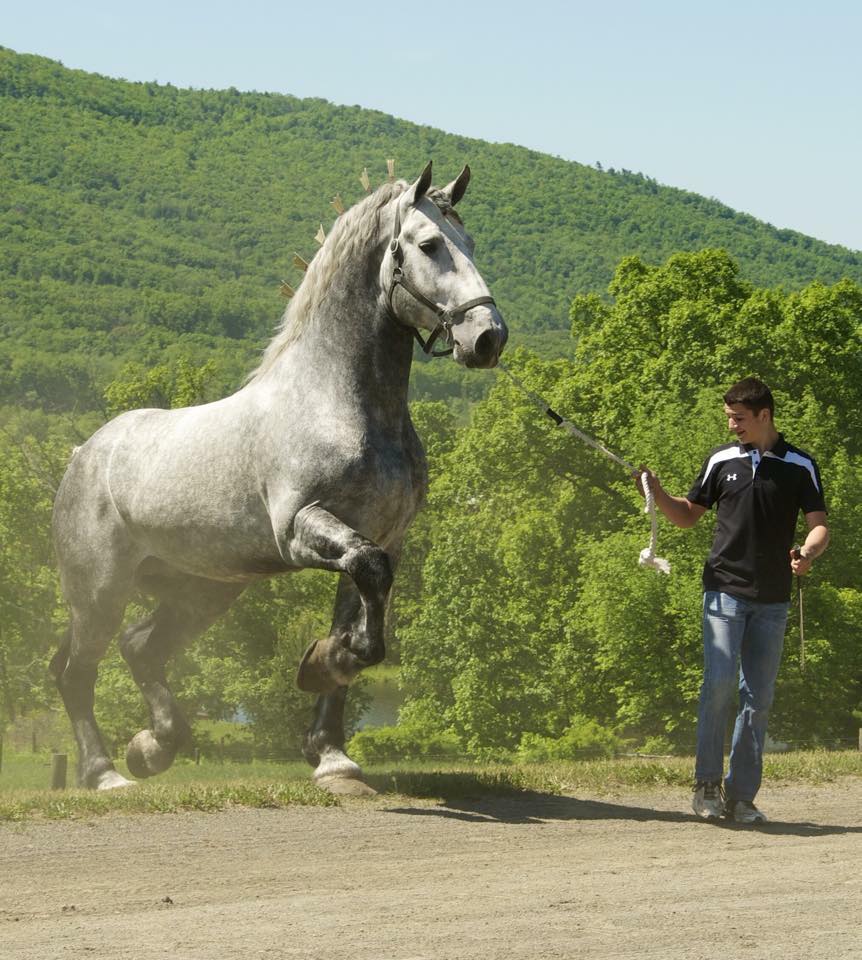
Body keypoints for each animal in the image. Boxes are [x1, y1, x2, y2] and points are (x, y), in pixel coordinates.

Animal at [52, 163, 506, 796]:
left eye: (472, 243)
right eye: (428, 244)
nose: (488, 337)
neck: (335, 401)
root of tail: (82, 454)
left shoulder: (378, 539)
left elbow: (363, 618)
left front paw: (333, 755)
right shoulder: (301, 529)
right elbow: (366, 598)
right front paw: (321, 665)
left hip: (203, 589)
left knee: (141, 648)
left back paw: (153, 747)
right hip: (99, 592)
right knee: (77, 671)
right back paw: (106, 774)